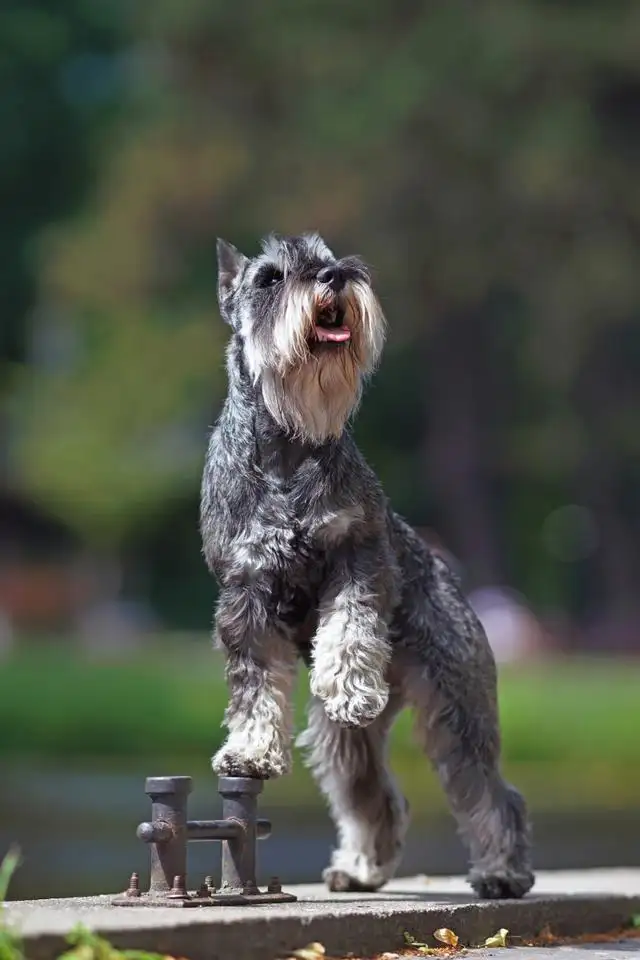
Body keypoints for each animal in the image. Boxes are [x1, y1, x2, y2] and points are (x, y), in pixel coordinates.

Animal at [200, 232, 536, 900]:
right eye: (269, 278)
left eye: (326, 255)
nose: (333, 277)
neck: (289, 445)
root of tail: (446, 569)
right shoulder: (245, 595)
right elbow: (254, 688)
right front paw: (249, 752)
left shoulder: (358, 555)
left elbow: (352, 627)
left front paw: (352, 684)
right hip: (343, 742)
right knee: (374, 795)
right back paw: (359, 868)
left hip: (458, 707)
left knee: (490, 792)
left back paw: (501, 872)